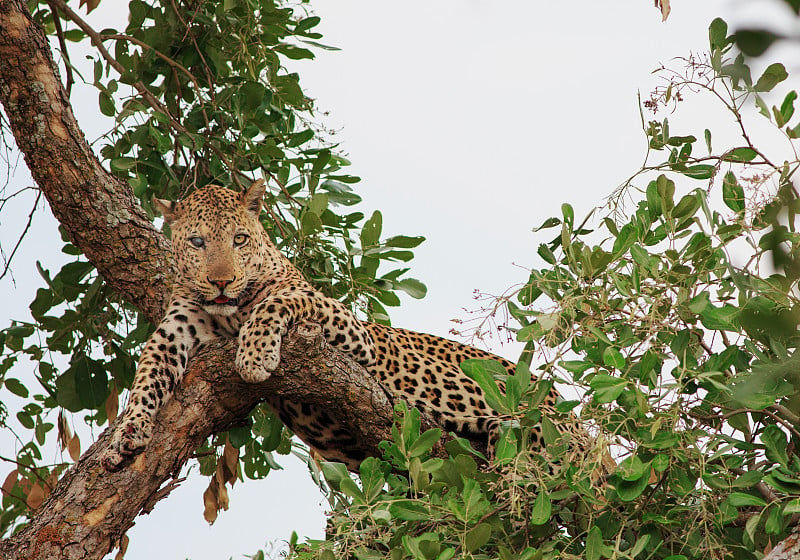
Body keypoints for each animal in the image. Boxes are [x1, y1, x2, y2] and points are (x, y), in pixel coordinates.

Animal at [100, 180, 564, 472]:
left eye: (239, 240)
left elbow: (278, 301)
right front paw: (128, 432)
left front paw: (254, 356)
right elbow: (146, 374)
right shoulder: (175, 328)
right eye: (197, 242)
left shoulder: (349, 328)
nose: (221, 281)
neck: (229, 312)